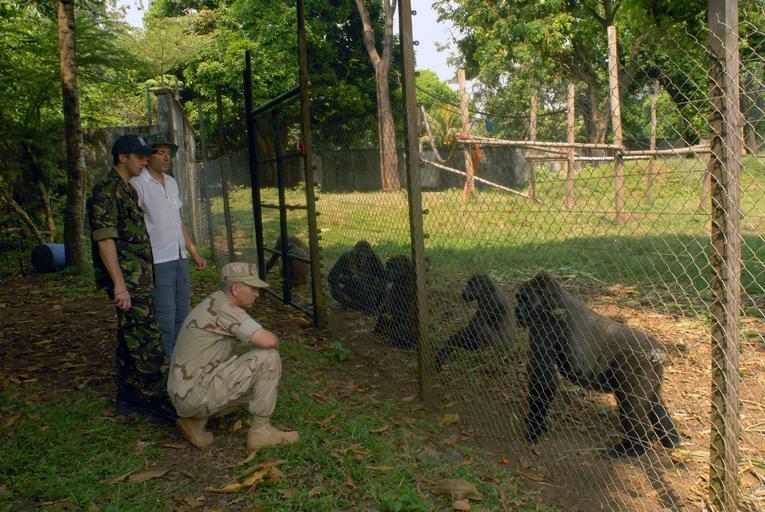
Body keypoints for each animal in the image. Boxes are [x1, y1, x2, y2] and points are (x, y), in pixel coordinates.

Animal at [514, 271, 680, 457]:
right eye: (519, 299)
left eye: (523, 299)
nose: (516, 311)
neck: (553, 297)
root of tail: (657, 350)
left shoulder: (544, 322)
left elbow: (543, 377)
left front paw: (535, 426)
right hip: (653, 370)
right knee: (653, 400)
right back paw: (671, 440)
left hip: (638, 362)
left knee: (630, 402)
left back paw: (635, 447)